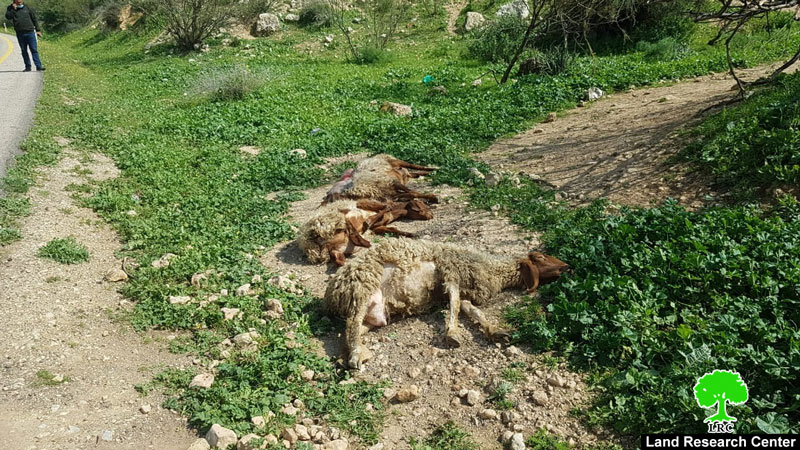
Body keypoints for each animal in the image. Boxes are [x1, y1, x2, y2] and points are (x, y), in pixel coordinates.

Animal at [297, 199, 433, 265]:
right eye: (420, 206)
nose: (431, 215)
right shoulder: (363, 204)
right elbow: (385, 208)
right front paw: (368, 221)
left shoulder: (378, 227)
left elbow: (392, 229)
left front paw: (410, 234)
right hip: (336, 222)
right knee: (350, 229)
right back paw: (365, 240)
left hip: (336, 248)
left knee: (338, 258)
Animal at [323, 238, 571, 369]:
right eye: (540, 258)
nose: (568, 267)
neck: (491, 268)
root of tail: (331, 293)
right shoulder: (451, 272)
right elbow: (456, 303)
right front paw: (452, 334)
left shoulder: (462, 287)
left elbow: (470, 308)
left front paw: (495, 331)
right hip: (362, 287)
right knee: (352, 324)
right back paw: (356, 356)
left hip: (373, 314)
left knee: (349, 330)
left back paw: (346, 356)